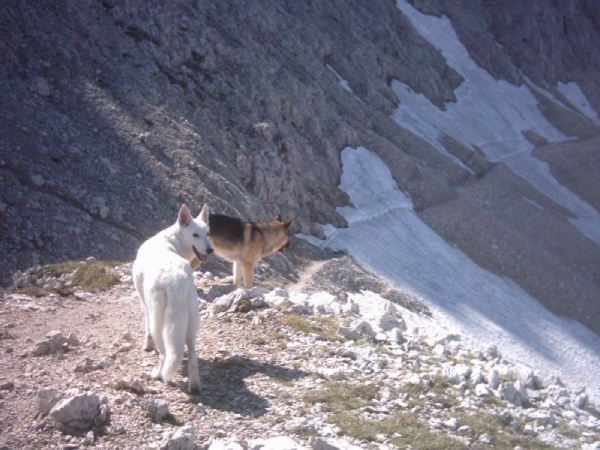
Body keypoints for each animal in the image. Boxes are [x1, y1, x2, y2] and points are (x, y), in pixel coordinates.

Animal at [132, 205, 212, 394]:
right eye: (196, 235)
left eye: (207, 233)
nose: (210, 250)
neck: (173, 241)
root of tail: (176, 279)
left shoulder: (145, 305)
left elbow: (146, 328)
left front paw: (147, 346)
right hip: (192, 322)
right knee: (192, 355)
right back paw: (194, 386)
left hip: (159, 323)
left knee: (164, 354)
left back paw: (157, 375)